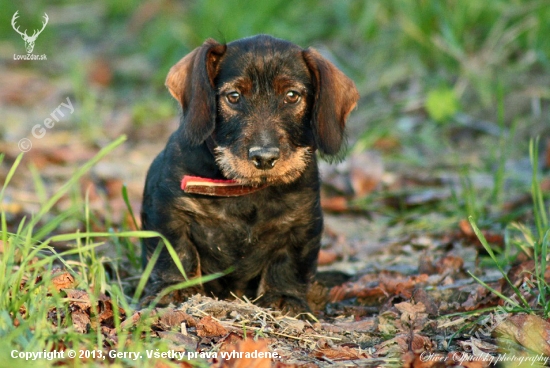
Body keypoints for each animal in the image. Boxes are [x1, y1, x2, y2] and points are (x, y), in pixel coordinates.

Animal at [140, 34, 360, 314]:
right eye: (234, 96)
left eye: (292, 96)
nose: (264, 157)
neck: (245, 190)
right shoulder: (168, 211)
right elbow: (176, 252)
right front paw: (174, 289)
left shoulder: (302, 224)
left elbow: (289, 262)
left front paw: (284, 297)